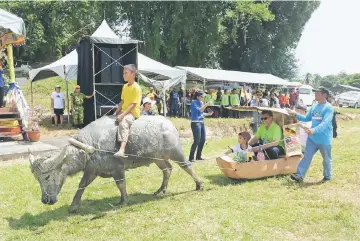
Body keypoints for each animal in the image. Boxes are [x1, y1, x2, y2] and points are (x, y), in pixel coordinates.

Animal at [28, 116, 202, 212]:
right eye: (38, 179)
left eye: (47, 176)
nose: (45, 200)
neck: (90, 145)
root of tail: (169, 124)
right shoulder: (92, 170)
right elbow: (81, 186)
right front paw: (73, 206)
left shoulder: (118, 168)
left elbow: (121, 184)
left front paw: (123, 201)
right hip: (157, 158)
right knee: (167, 169)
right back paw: (161, 190)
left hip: (175, 151)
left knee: (186, 165)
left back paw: (199, 184)